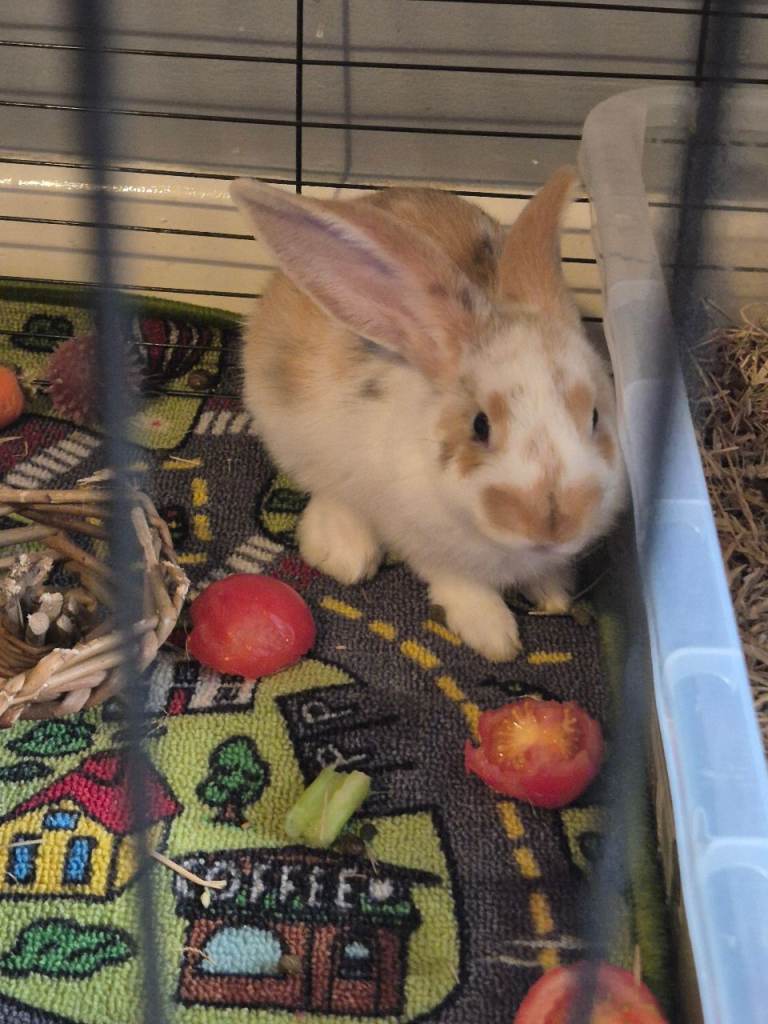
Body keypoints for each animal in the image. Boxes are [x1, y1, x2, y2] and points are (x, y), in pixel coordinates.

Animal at [230, 167, 627, 662]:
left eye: (594, 417)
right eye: (480, 425)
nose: (553, 525)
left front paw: (554, 595)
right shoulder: (425, 542)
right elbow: (459, 582)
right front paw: (494, 635)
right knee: (325, 487)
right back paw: (344, 551)